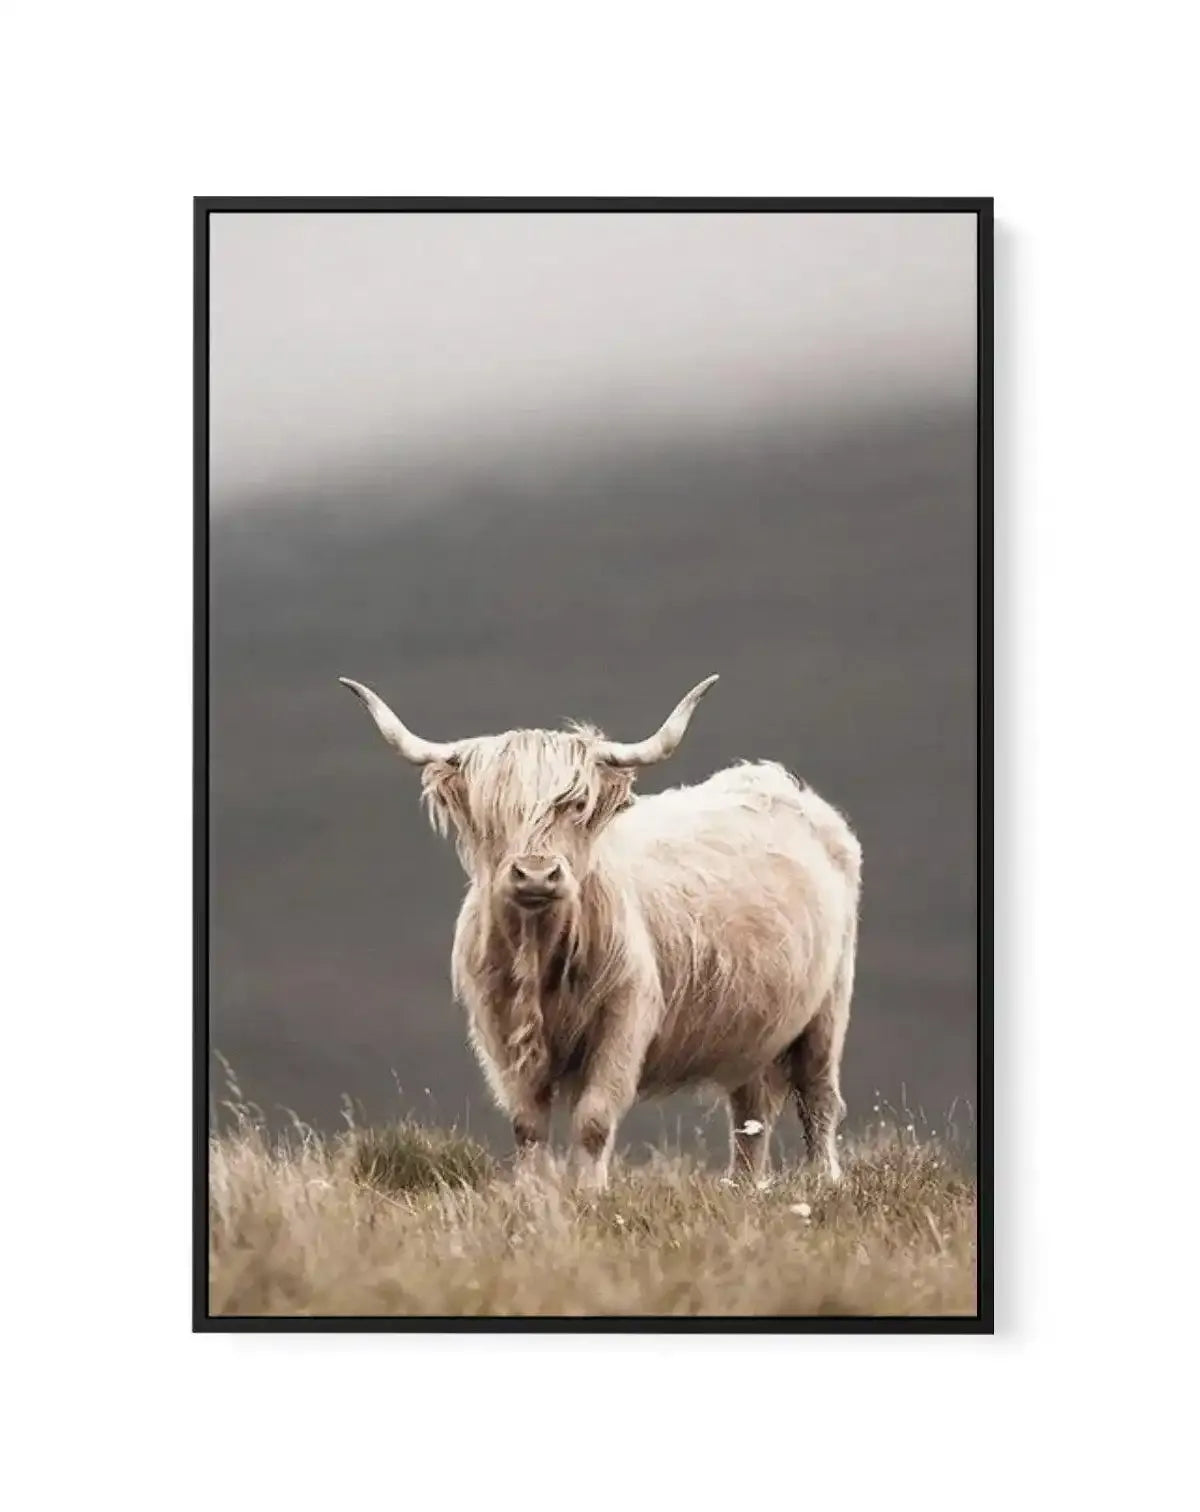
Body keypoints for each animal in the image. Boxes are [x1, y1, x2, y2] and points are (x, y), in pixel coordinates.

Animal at [339, 674, 861, 1191]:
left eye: (577, 805)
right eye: (494, 811)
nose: (536, 874)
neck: (541, 956)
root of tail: (773, 780)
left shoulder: (624, 1020)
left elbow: (594, 1119)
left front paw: (591, 1194)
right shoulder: (500, 1029)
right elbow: (527, 1125)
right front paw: (533, 1194)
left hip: (829, 1005)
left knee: (818, 1096)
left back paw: (825, 1181)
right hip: (751, 1026)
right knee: (751, 1112)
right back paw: (743, 1188)